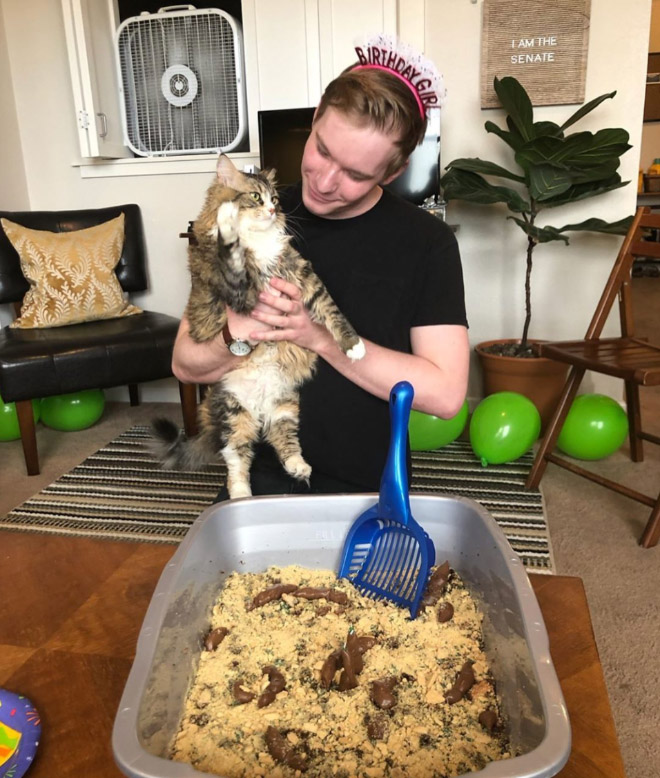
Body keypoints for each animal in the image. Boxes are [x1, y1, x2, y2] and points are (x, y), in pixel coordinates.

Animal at [151, 155, 366, 500]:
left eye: (275, 199)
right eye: (255, 197)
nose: (272, 210)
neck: (260, 242)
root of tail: (261, 407)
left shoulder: (303, 276)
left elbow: (333, 312)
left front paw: (353, 346)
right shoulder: (242, 294)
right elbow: (232, 254)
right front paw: (228, 226)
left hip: (285, 406)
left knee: (282, 439)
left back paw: (298, 467)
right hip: (235, 412)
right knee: (236, 457)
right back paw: (241, 496)